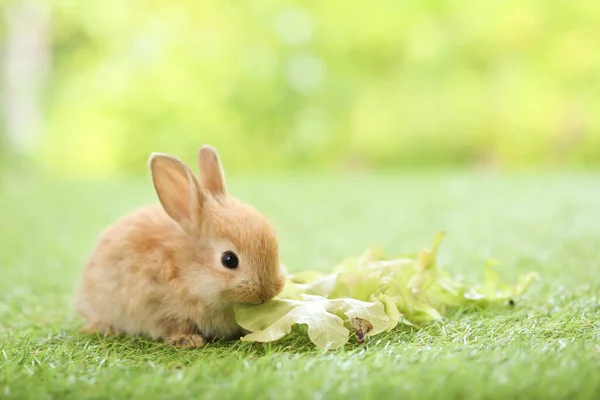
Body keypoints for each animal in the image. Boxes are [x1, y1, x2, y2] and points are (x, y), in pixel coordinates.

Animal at [74, 145, 286, 346]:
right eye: (229, 260)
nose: (267, 293)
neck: (184, 269)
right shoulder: (158, 306)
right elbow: (173, 325)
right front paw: (189, 340)